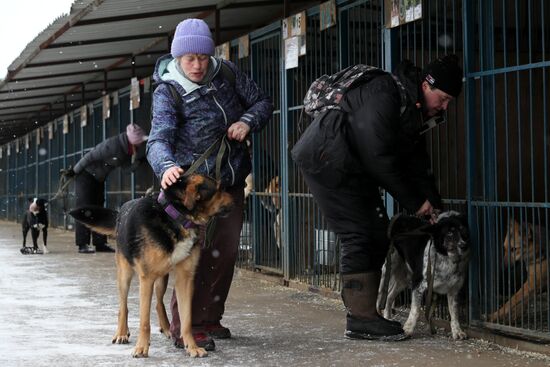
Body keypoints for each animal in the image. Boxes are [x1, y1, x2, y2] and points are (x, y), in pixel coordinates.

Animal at [69, 175, 233, 360]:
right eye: (219, 189)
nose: (235, 200)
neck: (176, 217)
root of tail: (121, 211)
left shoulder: (185, 279)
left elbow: (186, 320)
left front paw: (192, 347)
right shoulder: (146, 279)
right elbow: (144, 321)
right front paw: (141, 348)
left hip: (162, 278)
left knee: (158, 303)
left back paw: (167, 328)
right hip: (125, 274)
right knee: (123, 306)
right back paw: (121, 333)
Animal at [380, 213, 474, 342]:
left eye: (463, 229)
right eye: (449, 233)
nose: (464, 246)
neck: (446, 259)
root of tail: (399, 217)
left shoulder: (454, 290)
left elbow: (454, 313)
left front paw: (457, 331)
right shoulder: (418, 285)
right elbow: (415, 310)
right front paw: (408, 330)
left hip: (404, 279)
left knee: (389, 296)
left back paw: (388, 318)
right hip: (388, 269)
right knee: (380, 296)